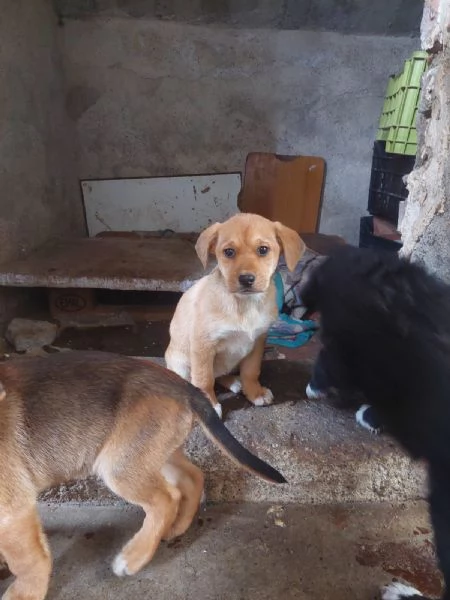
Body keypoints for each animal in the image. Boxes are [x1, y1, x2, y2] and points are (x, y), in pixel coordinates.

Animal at [0, 352, 284, 600]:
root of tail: (184, 386)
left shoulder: (13, 510)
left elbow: (27, 560)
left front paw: (24, 593)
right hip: (156, 453)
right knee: (192, 478)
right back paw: (177, 527)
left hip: (119, 465)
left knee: (165, 499)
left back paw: (134, 557)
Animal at [163, 212, 304, 418]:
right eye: (228, 252)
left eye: (263, 250)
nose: (246, 279)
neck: (245, 304)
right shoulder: (203, 344)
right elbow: (204, 379)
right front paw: (210, 406)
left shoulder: (258, 340)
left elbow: (251, 371)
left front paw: (254, 393)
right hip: (179, 363)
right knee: (194, 379)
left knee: (220, 374)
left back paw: (235, 382)